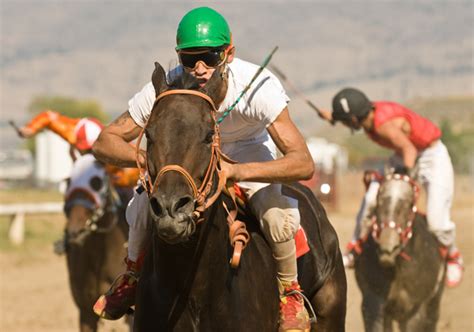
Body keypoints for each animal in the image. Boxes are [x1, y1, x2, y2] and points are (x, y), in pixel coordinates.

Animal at [354, 171, 446, 332]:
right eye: (379, 200)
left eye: (409, 204)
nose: (388, 248)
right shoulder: (374, 303)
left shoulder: (416, 311)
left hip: (433, 304)